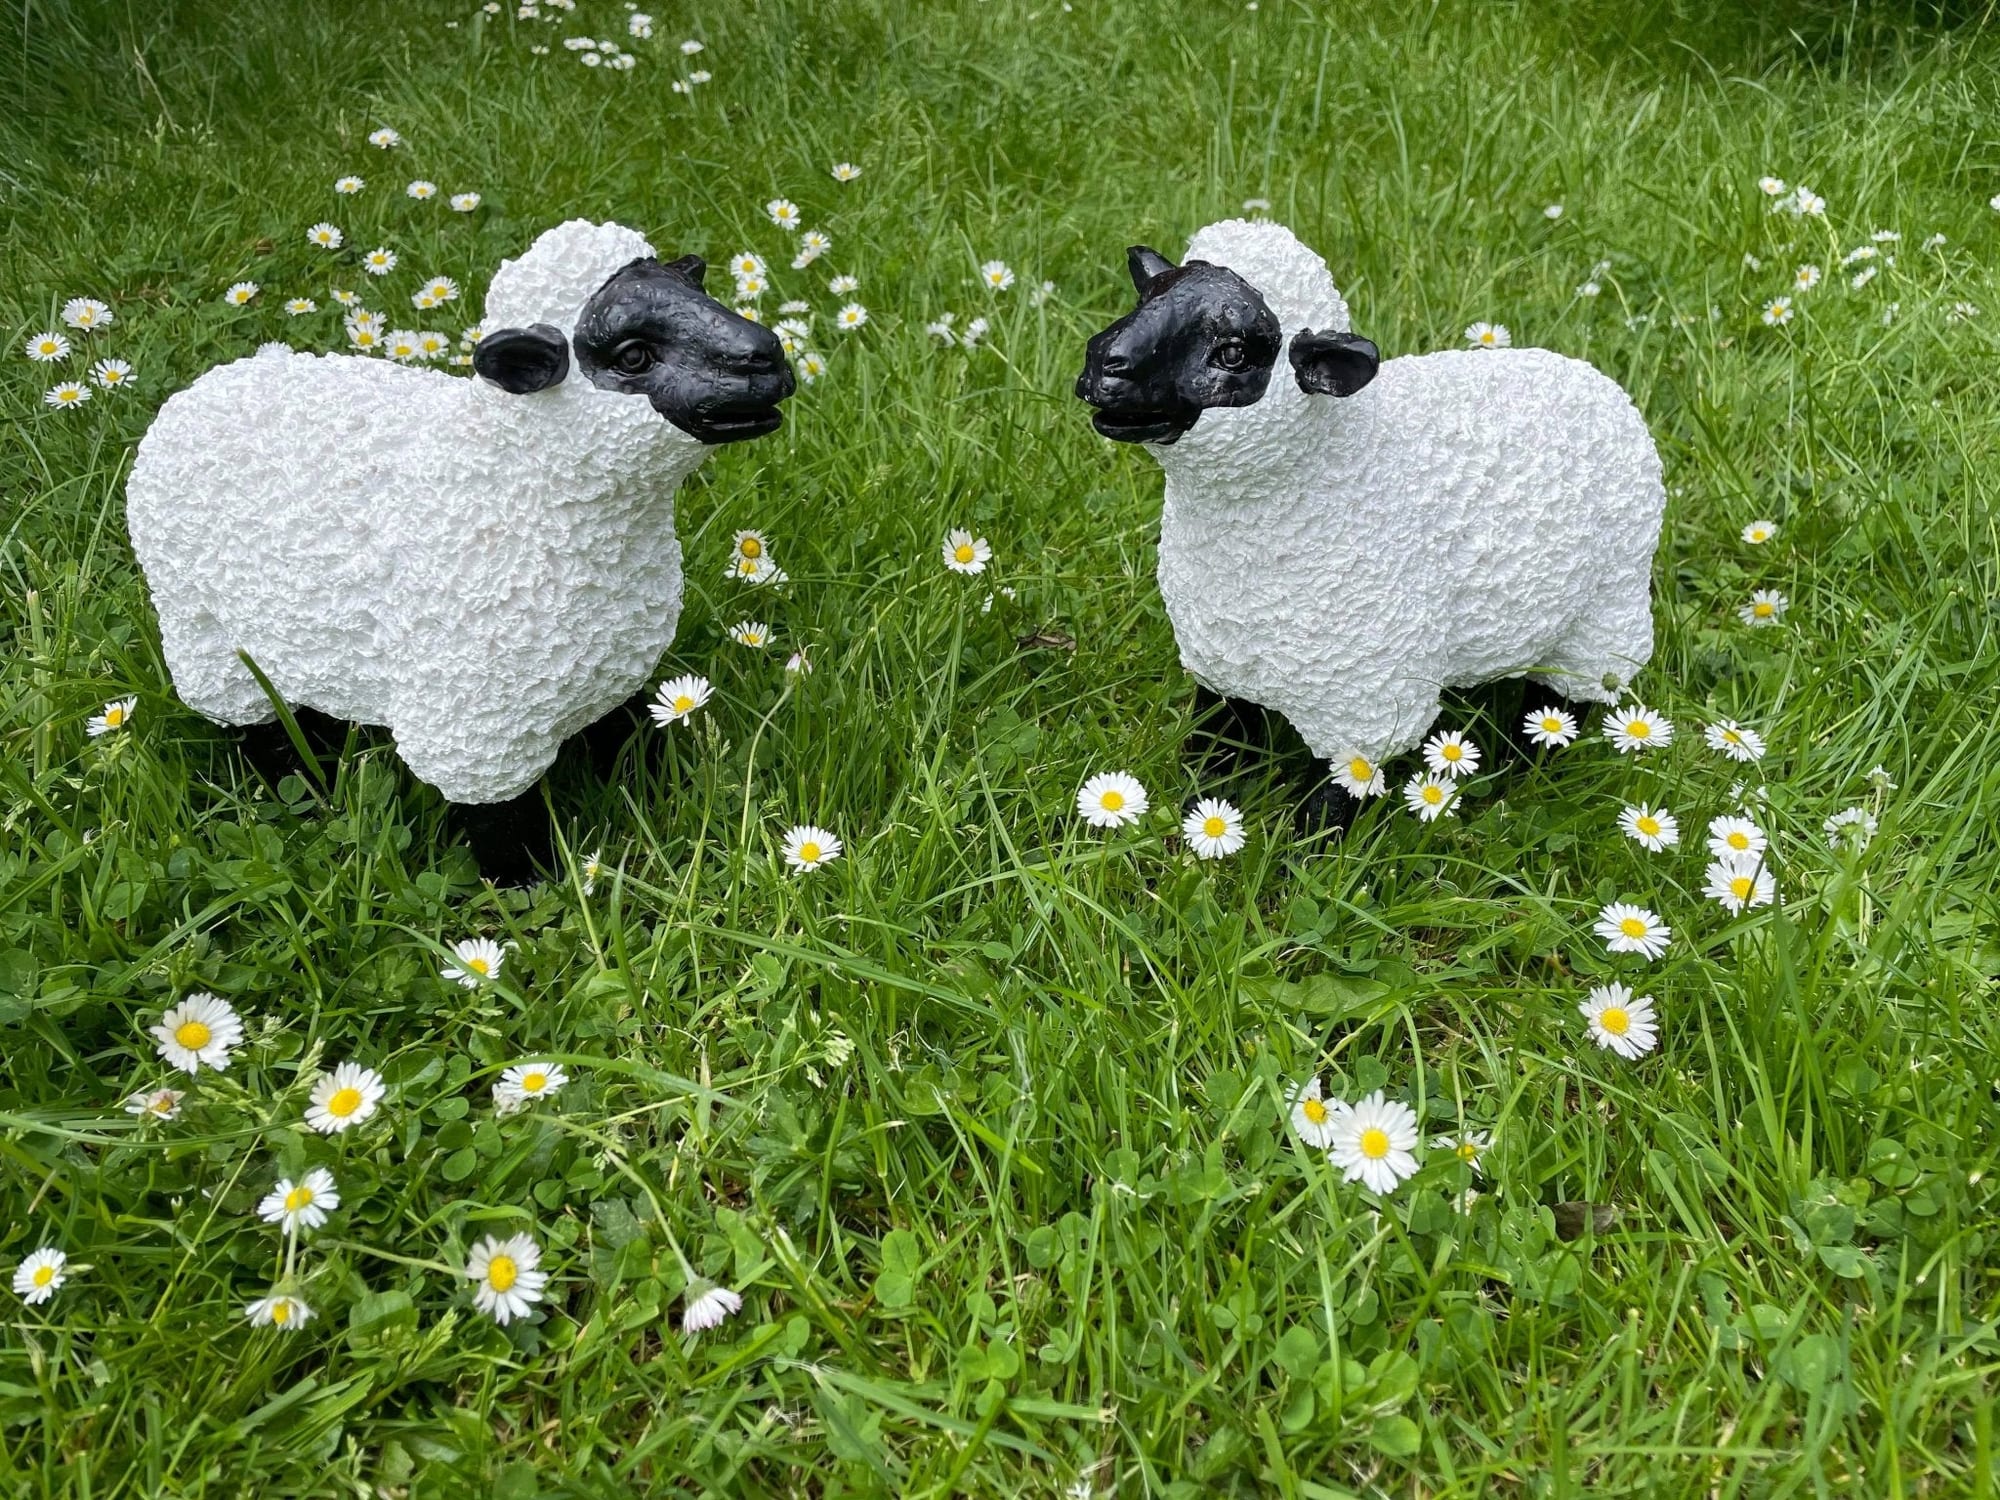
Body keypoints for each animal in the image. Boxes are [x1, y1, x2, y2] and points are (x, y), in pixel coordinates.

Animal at [126, 219, 794, 820]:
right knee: (247, 717)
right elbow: (503, 820)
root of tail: (196, 392)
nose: (767, 357)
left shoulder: (610, 668)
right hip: (201, 628)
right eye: (633, 356)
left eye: (698, 290)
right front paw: (528, 875)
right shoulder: (474, 722)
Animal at [1074, 218, 1665, 806]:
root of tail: (1599, 381)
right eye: (1147, 296)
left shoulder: (1367, 696)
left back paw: (1522, 775)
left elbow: (1341, 792)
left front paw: (1311, 836)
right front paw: (1194, 808)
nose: (1103, 362)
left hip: (1608, 602)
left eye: (1234, 353)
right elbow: (1217, 746)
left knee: (1567, 699)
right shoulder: (1221, 658)